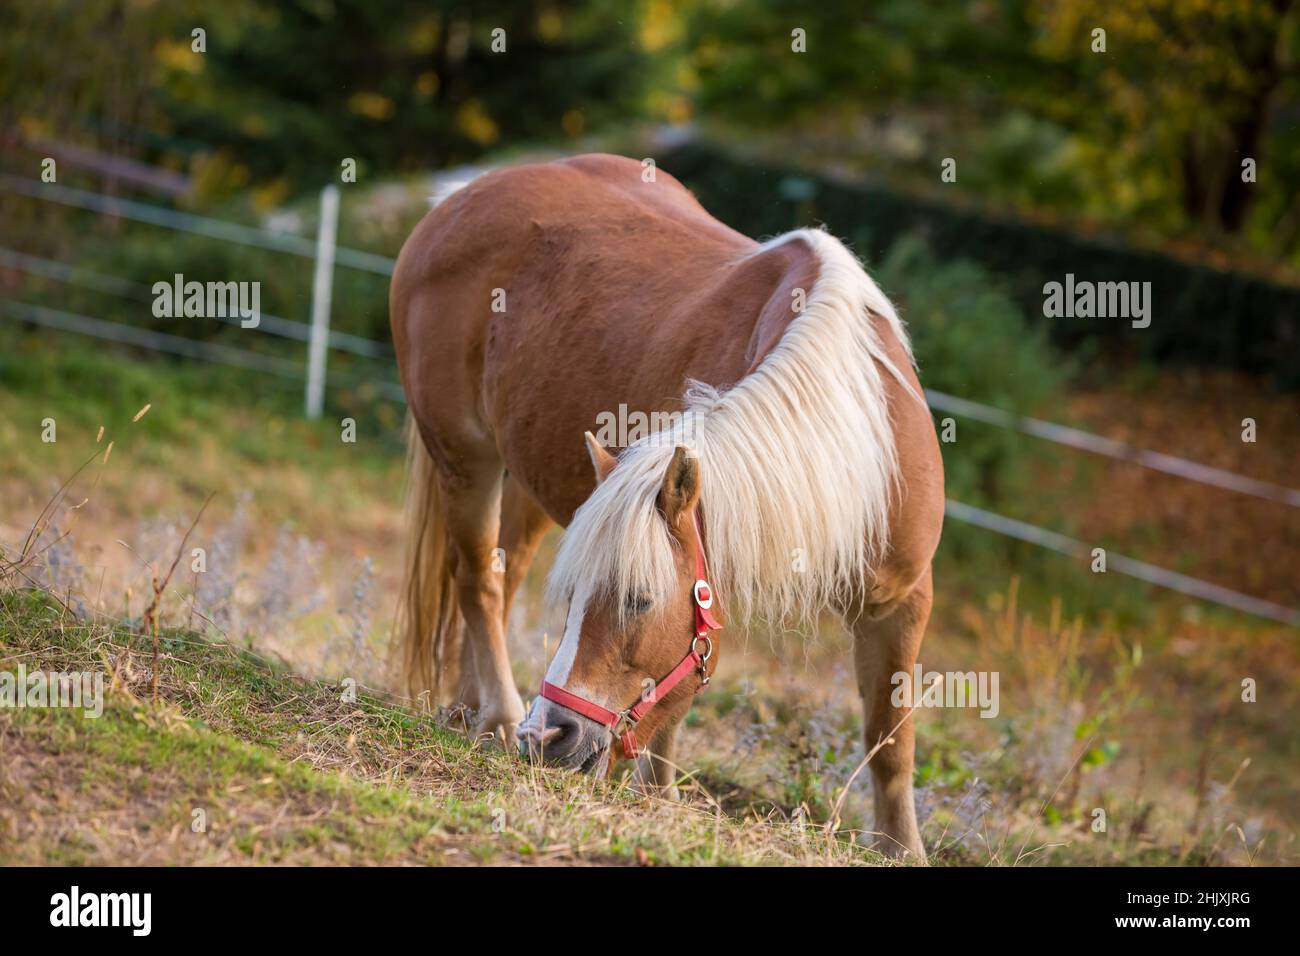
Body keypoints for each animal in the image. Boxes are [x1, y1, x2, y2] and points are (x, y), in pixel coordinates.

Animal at [387, 151, 946, 858]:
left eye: (639, 599)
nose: (550, 738)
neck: (859, 439)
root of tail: (464, 195)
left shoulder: (901, 602)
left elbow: (890, 736)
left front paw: (901, 847)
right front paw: (658, 798)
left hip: (532, 477)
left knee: (499, 574)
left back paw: (478, 712)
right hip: (466, 456)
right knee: (478, 583)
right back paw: (502, 713)